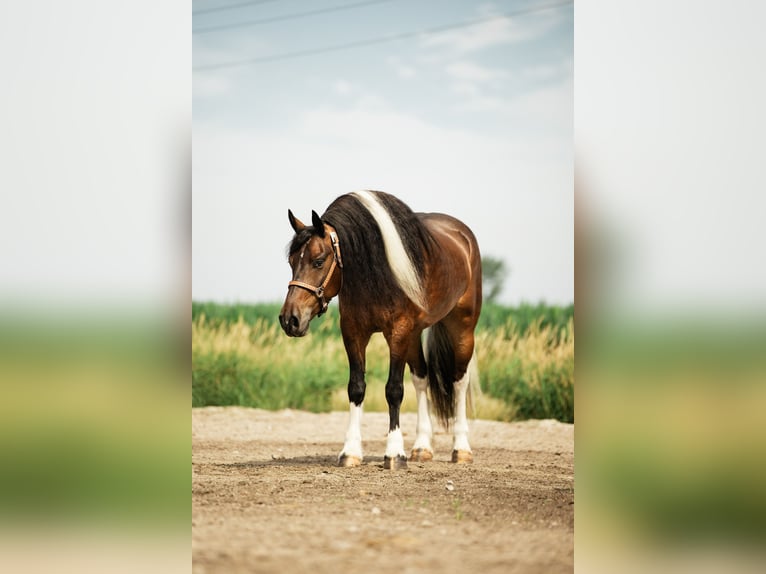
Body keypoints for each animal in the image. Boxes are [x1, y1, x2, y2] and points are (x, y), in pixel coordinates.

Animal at [279, 190, 482, 469]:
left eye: (318, 261)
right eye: (290, 261)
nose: (290, 320)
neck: (375, 275)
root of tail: (463, 235)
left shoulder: (397, 333)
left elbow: (394, 390)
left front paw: (395, 453)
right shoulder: (353, 333)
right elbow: (356, 387)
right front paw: (350, 451)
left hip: (462, 327)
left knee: (459, 380)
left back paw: (461, 449)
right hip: (415, 335)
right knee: (421, 379)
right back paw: (422, 447)